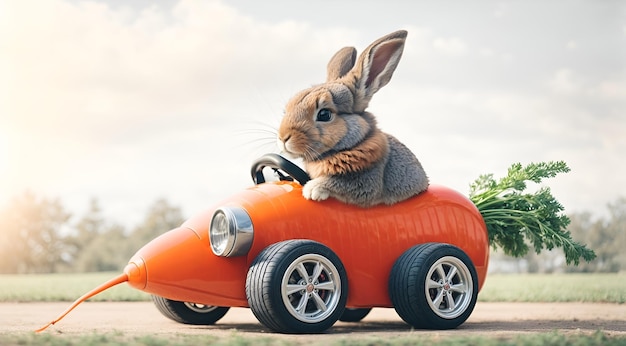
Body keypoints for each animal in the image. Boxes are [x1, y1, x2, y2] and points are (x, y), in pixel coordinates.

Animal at [276, 29, 426, 207]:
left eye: (324, 114)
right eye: (287, 108)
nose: (283, 138)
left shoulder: (366, 181)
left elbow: (339, 183)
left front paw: (312, 190)